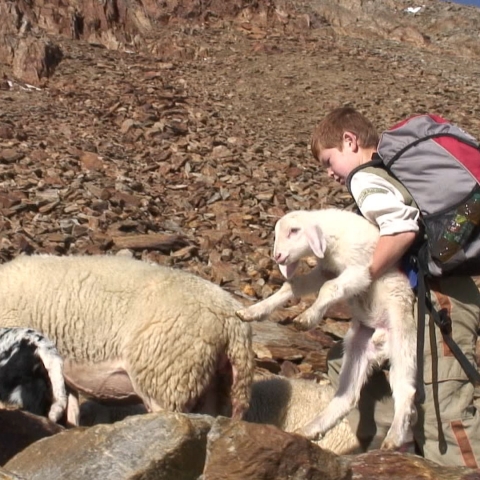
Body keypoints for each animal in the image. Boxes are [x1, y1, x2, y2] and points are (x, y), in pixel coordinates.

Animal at [236, 209, 416, 450]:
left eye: (294, 231)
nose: (279, 257)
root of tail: (380, 338)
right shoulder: (326, 270)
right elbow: (294, 286)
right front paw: (253, 311)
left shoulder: (360, 270)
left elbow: (330, 288)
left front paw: (307, 317)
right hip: (359, 346)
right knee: (348, 396)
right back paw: (311, 429)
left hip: (402, 338)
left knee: (406, 390)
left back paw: (393, 438)